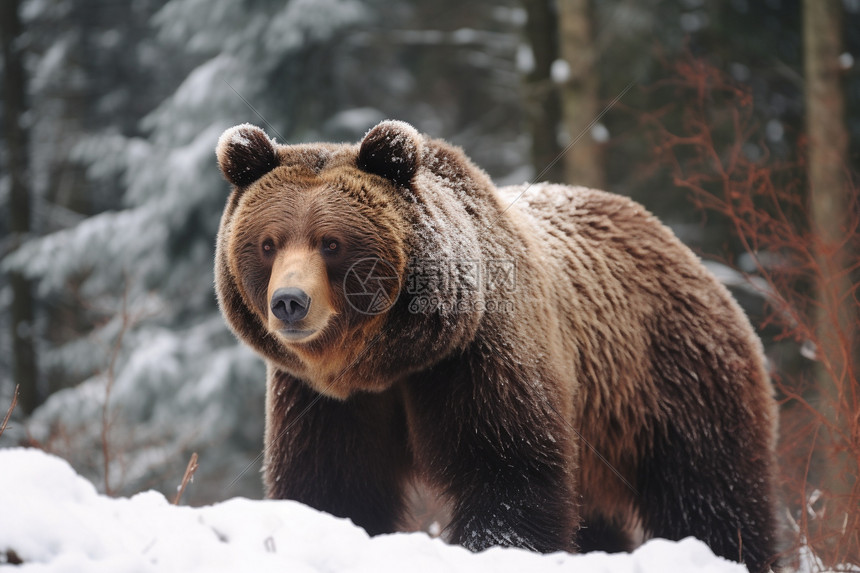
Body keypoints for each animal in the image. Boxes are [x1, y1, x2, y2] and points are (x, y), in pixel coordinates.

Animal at [213, 120, 780, 572]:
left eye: (331, 243)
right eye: (267, 243)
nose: (290, 302)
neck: (387, 359)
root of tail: (683, 251)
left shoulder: (478, 358)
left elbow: (507, 474)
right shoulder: (327, 400)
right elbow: (332, 485)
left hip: (674, 377)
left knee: (711, 494)